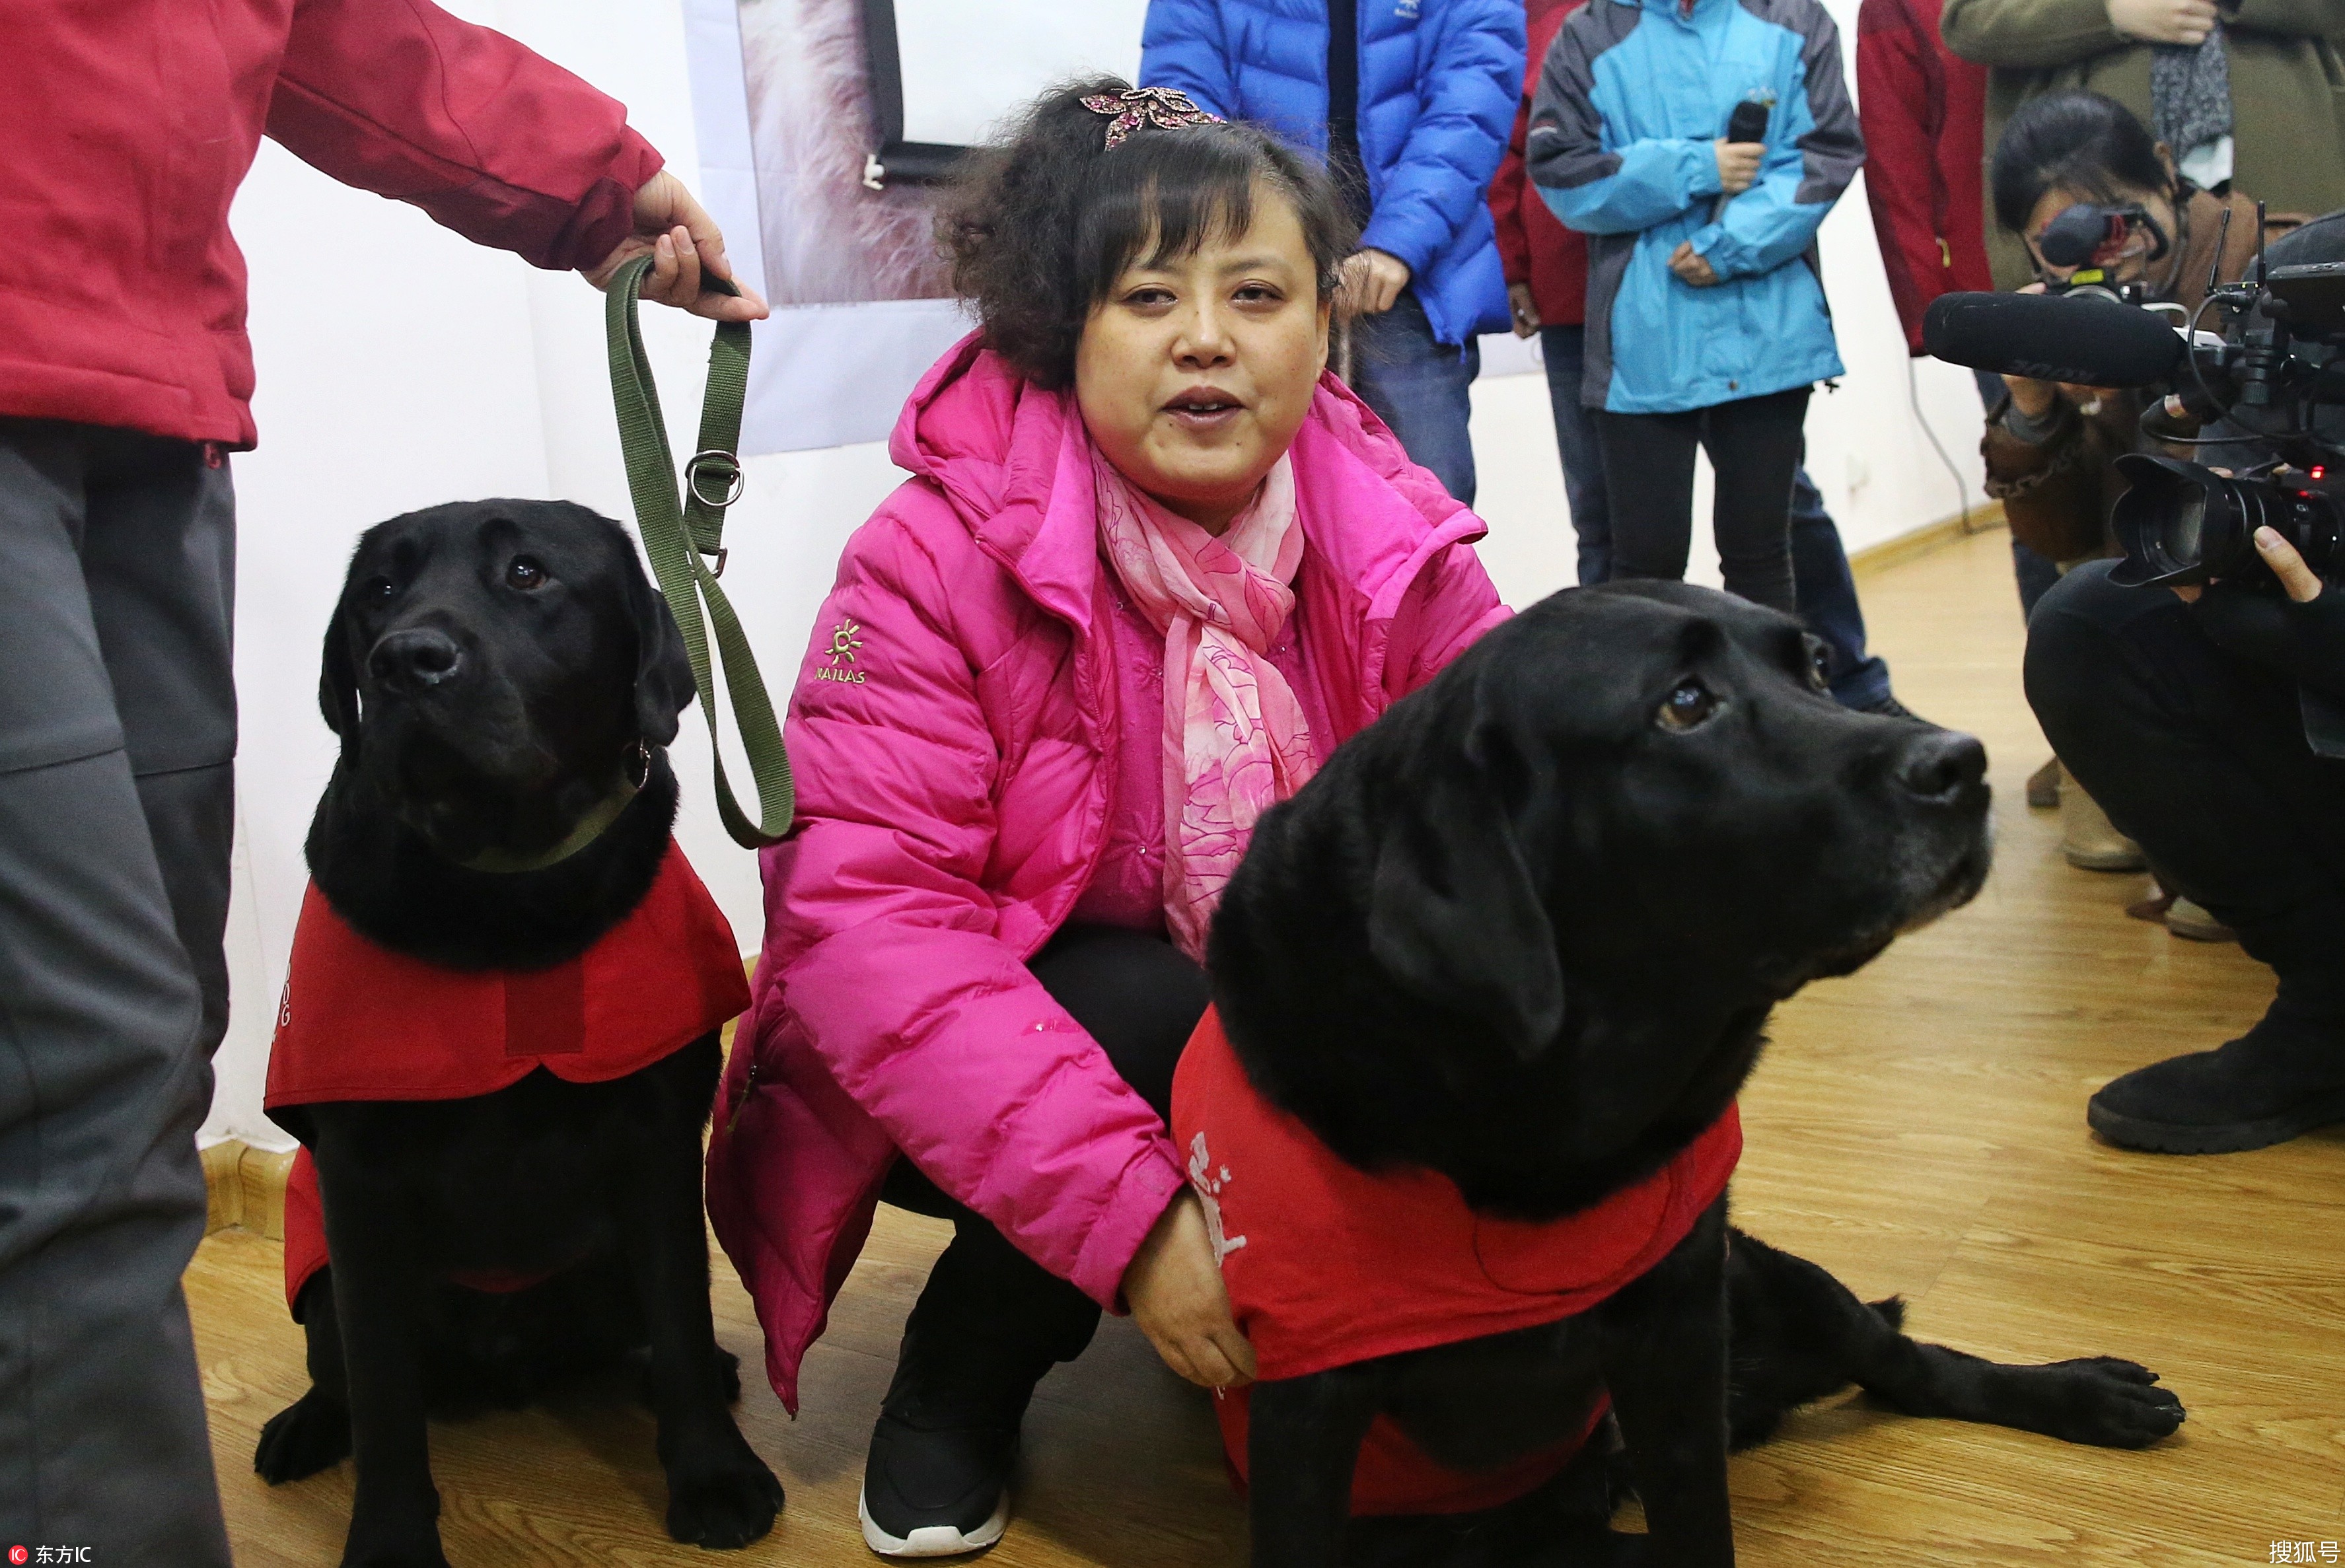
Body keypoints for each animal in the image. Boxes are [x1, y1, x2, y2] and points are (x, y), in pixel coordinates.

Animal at [254, 503, 787, 1565]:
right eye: (378, 591)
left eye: (529, 574)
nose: (404, 659)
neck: (503, 893)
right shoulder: (358, 1185)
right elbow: (382, 1389)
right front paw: (389, 1538)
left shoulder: (657, 1142)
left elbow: (679, 1310)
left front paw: (713, 1472)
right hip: (321, 1283)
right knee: (342, 1369)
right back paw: (305, 1424)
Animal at [1200, 581, 2185, 1556]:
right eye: (1682, 703)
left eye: (1815, 665)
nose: (1964, 762)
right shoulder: (1308, 1411)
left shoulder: (1679, 1320)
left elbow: (1701, 1516)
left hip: (1778, 1282)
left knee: (1909, 1364)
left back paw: (2084, 1393)